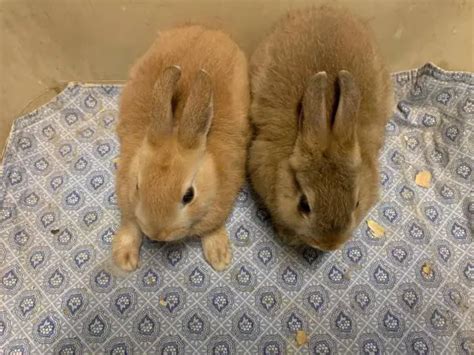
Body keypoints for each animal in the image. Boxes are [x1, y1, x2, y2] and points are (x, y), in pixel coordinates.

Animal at [112, 25, 250, 272]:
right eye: (137, 186)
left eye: (188, 196)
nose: (157, 233)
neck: (176, 125)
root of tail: (207, 29)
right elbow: (129, 224)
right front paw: (125, 259)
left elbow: (212, 228)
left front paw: (219, 256)